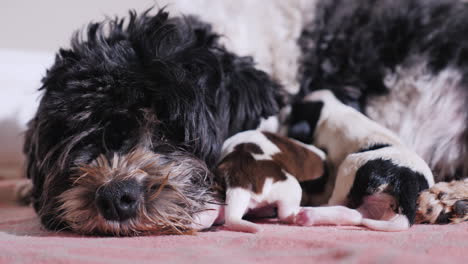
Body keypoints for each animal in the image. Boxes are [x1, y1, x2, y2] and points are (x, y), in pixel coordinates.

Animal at [288, 90, 436, 231]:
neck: (332, 108)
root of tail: (408, 176)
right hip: (379, 203)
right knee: (355, 214)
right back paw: (308, 215)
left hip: (349, 168)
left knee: (338, 202)